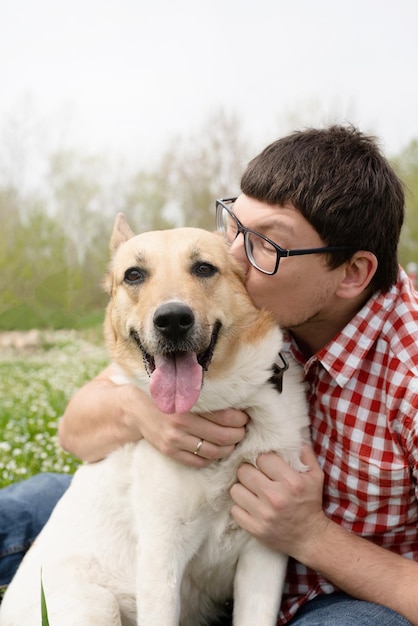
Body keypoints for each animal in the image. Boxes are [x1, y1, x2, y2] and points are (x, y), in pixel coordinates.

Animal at [0, 214, 308, 624]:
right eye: (134, 275)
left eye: (204, 268)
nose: (173, 320)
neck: (219, 402)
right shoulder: (161, 559)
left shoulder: (263, 555)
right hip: (96, 606)